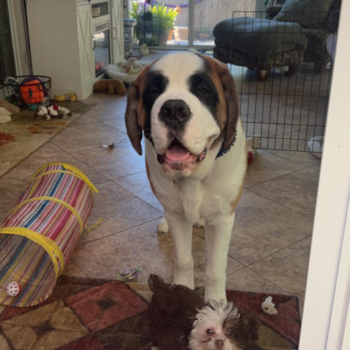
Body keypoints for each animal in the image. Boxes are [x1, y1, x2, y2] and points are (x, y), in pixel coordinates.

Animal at [124, 52, 247, 300]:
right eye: (154, 91)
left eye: (203, 89)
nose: (173, 110)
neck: (194, 176)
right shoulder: (177, 216)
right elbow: (183, 259)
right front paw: (181, 291)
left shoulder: (222, 219)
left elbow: (215, 269)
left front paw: (215, 303)